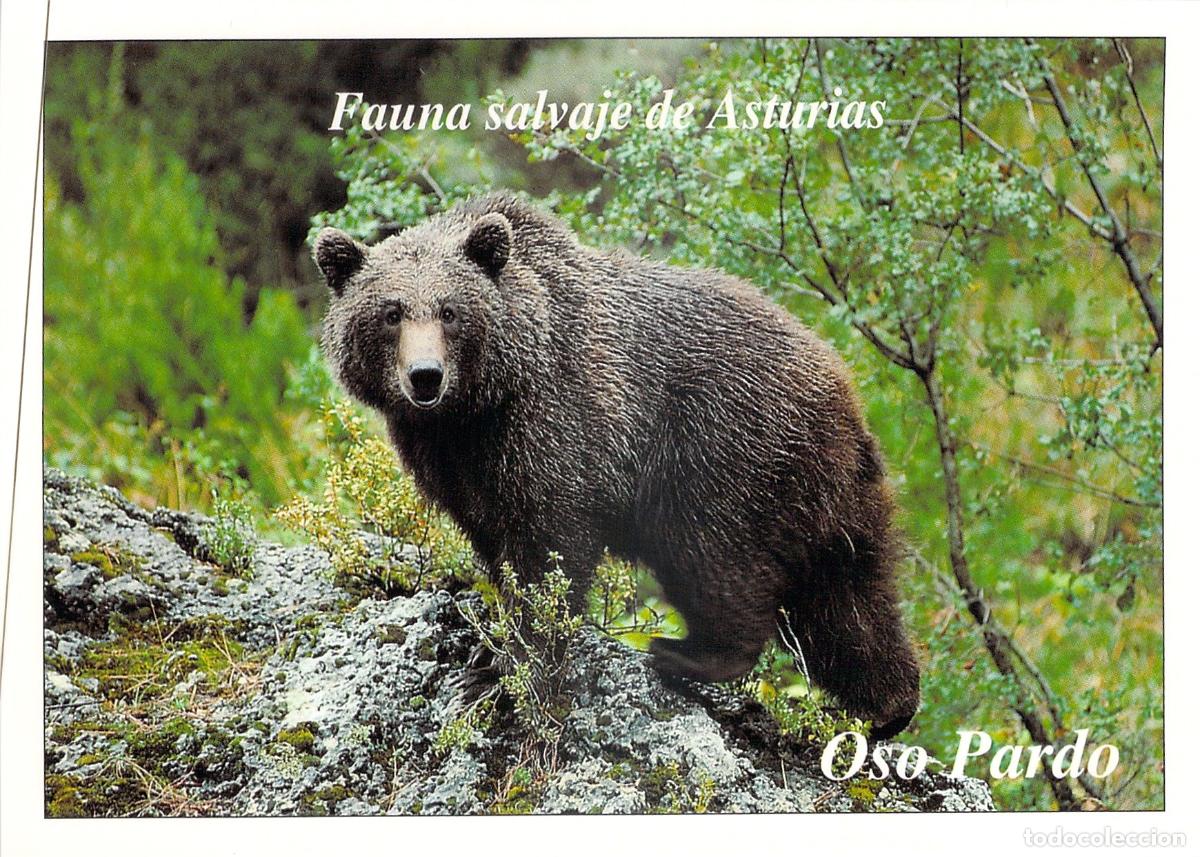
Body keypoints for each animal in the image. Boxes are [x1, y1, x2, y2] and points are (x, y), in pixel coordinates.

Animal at [314, 193, 920, 739]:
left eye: (450, 311)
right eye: (390, 313)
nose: (425, 376)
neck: (478, 408)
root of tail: (842, 384)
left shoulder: (557, 420)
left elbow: (549, 550)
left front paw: (502, 673)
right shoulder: (453, 462)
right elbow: (495, 542)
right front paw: (489, 652)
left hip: (721, 448)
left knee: (714, 555)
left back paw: (685, 652)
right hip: (830, 490)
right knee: (849, 596)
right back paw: (884, 707)